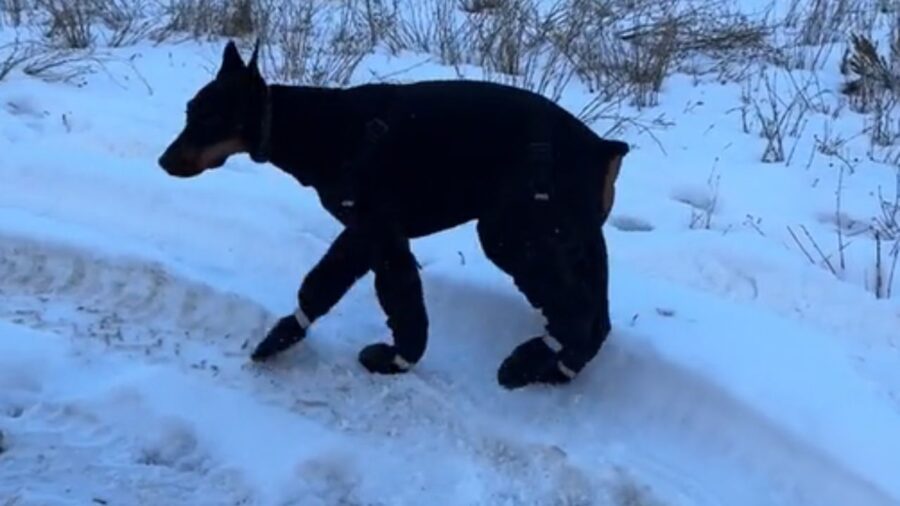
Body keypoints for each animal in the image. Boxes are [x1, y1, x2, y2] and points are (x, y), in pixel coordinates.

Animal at [158, 41, 628, 390]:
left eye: (208, 119)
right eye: (188, 111)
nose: (164, 161)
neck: (317, 127)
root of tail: (602, 148)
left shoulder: (378, 230)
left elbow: (391, 300)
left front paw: (394, 359)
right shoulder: (364, 234)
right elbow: (334, 289)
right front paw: (284, 338)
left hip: (514, 231)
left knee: (575, 313)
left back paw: (527, 362)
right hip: (576, 238)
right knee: (597, 319)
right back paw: (556, 370)